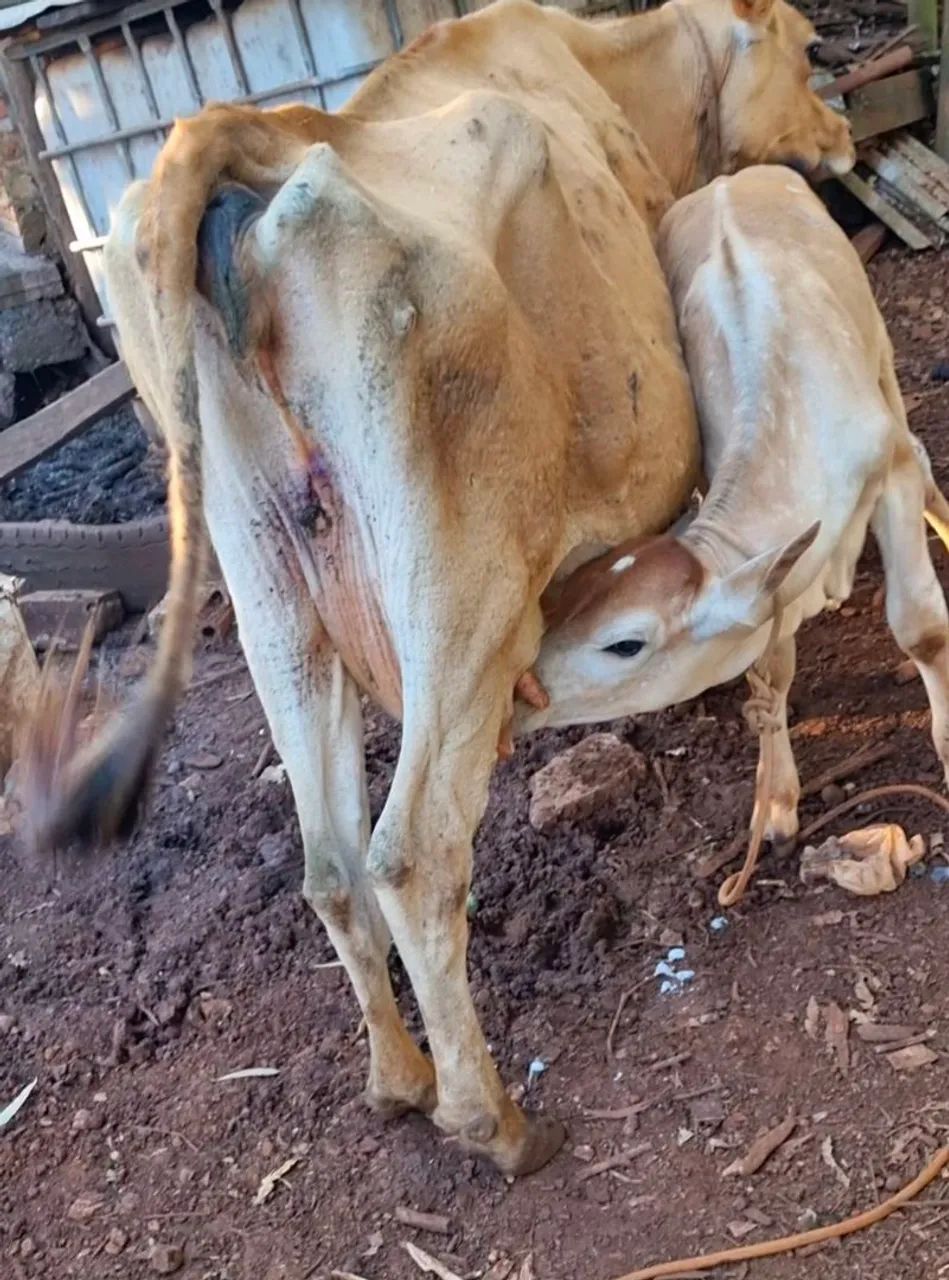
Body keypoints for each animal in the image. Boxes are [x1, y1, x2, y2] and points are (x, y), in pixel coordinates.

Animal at [25, 0, 853, 1176]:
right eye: (803, 48)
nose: (840, 133)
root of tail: (239, 133)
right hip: (457, 592)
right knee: (411, 852)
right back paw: (489, 1120)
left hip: (272, 592)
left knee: (329, 858)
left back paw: (399, 1078)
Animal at [522, 165, 949, 855]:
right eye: (566, 596)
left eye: (625, 644)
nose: (523, 692)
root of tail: (730, 176)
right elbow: (769, 670)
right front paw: (774, 800)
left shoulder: (889, 473)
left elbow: (921, 627)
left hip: (879, 349)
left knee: (917, 442)